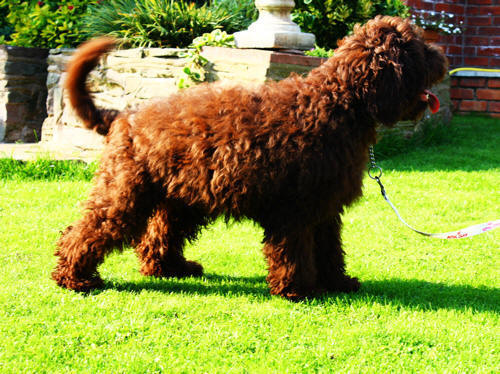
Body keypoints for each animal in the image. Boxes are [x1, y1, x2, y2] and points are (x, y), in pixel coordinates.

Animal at [52, 16, 448, 300]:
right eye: (418, 50)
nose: (443, 58)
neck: (338, 102)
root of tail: (123, 115)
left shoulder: (325, 208)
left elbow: (329, 248)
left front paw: (338, 282)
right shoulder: (296, 208)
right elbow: (294, 250)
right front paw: (298, 290)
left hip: (181, 199)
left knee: (157, 235)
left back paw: (170, 268)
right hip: (125, 193)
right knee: (87, 231)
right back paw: (75, 278)